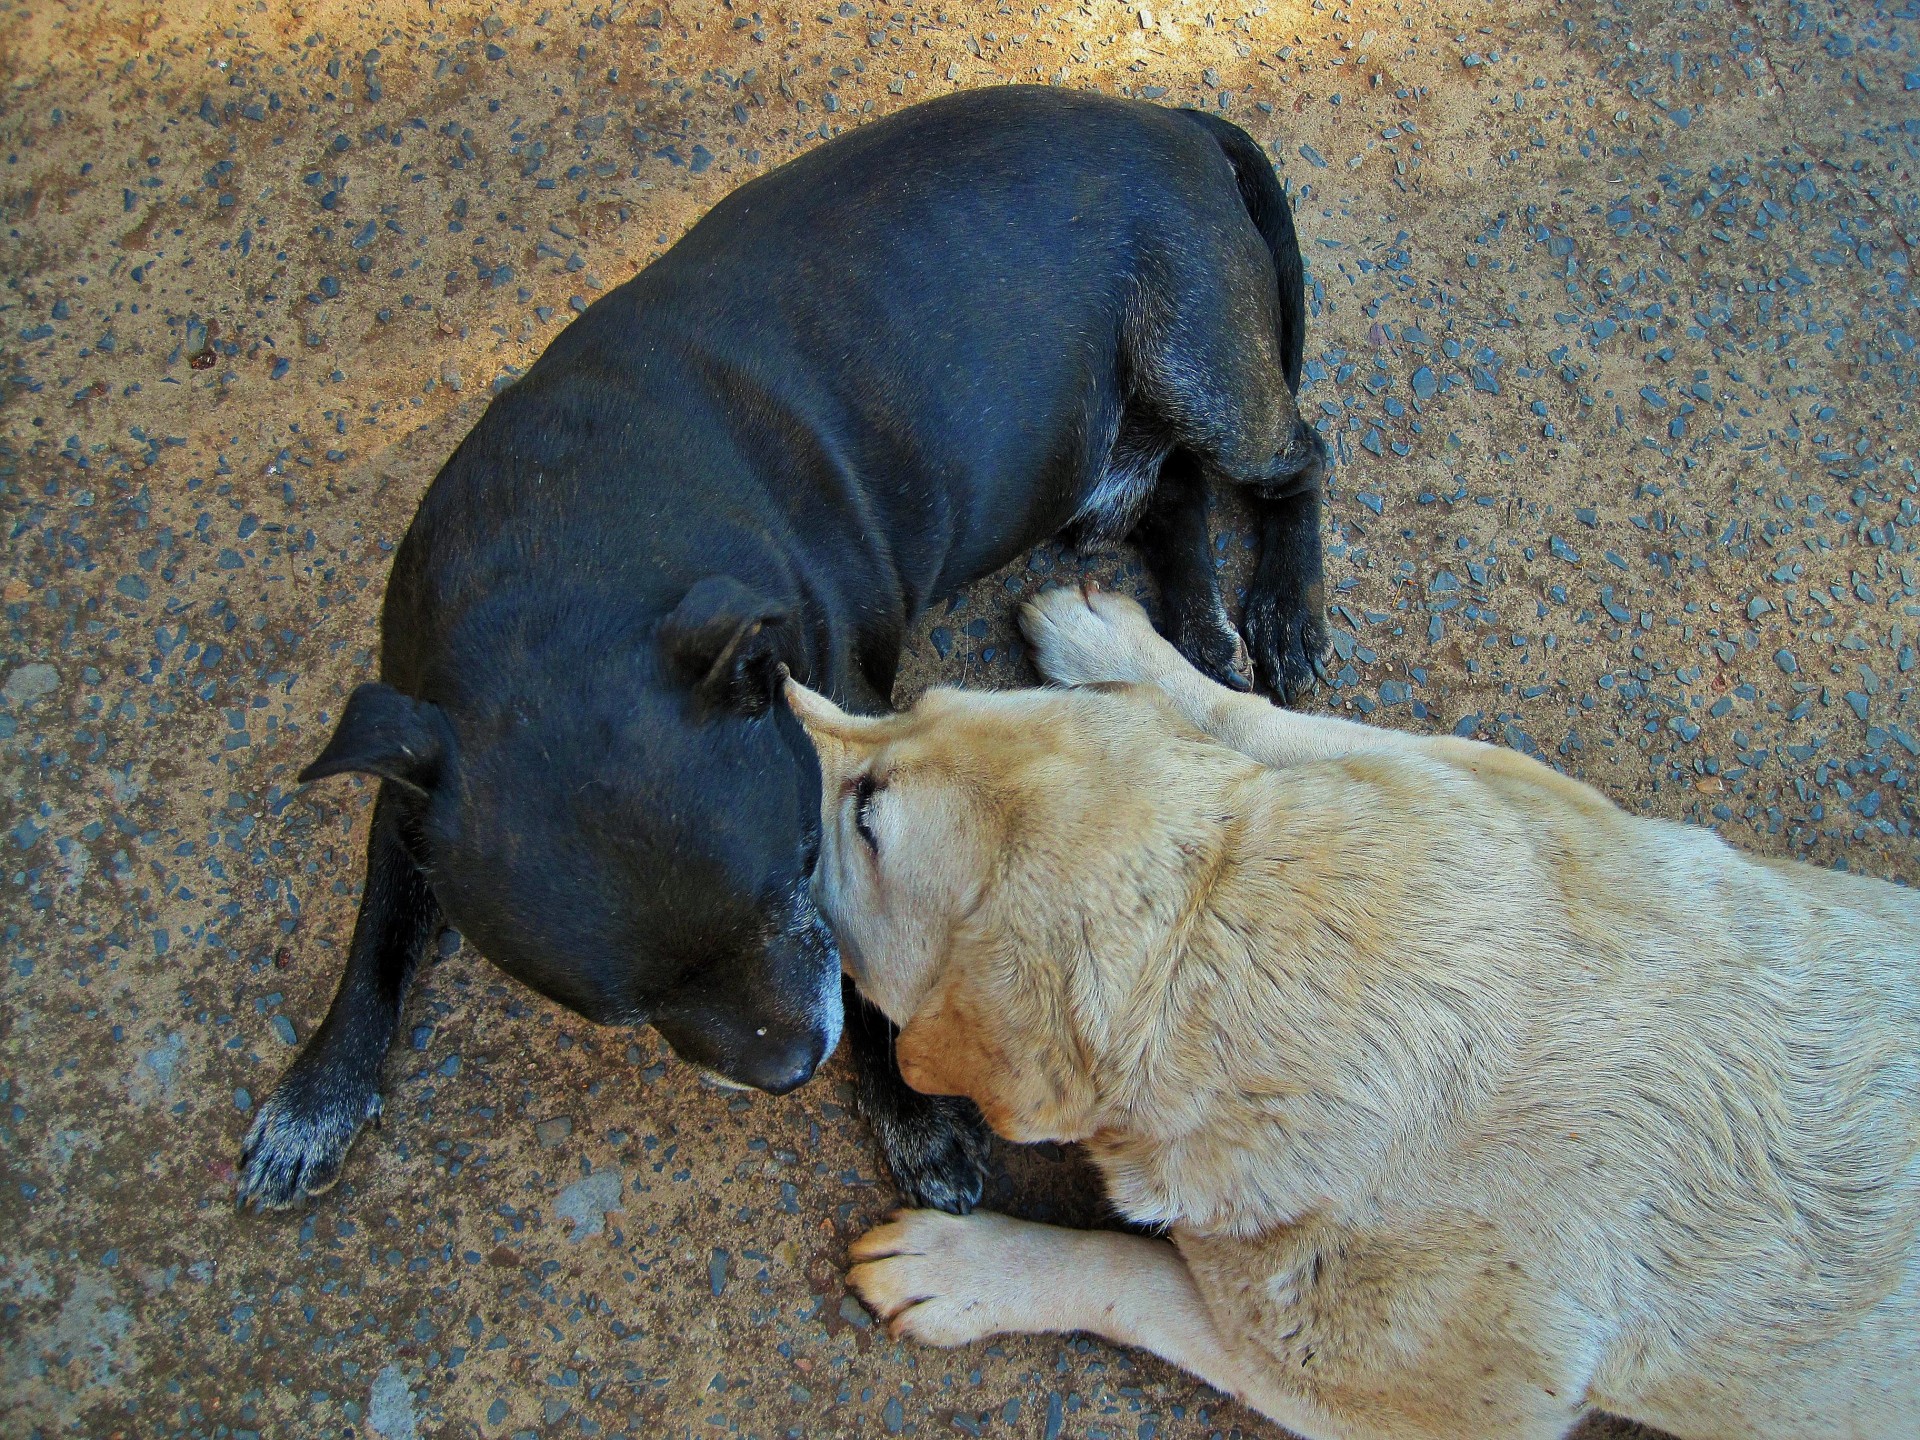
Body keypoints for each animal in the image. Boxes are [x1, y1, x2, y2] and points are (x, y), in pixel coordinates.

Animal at [236, 84, 1320, 1221]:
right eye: (619, 1011)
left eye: (801, 868)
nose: (790, 1066)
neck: (552, 564)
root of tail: (1164, 112)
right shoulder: (407, 771)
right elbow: (374, 934)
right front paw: (317, 1092)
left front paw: (910, 1112)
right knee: (1177, 495)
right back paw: (1200, 626)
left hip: (1203, 371)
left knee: (1294, 460)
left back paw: (1279, 611)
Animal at [783, 587, 1920, 1440]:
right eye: (914, 703)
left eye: (867, 818)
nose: (774, 686)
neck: (1236, 921)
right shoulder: (1487, 778)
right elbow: (1269, 723)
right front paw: (1118, 645)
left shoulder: (1399, 1403)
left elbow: (1124, 1275)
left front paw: (963, 1270)